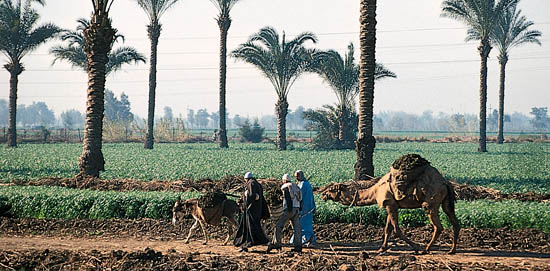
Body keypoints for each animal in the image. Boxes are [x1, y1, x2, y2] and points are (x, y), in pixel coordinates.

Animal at [322, 166, 464, 255]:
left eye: (332, 189)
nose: (323, 194)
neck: (374, 191)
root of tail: (445, 183)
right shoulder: (390, 204)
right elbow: (387, 229)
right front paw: (381, 249)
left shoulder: (389, 204)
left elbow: (396, 229)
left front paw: (416, 248)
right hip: (446, 202)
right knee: (455, 222)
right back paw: (451, 250)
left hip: (431, 202)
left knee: (438, 226)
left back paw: (426, 249)